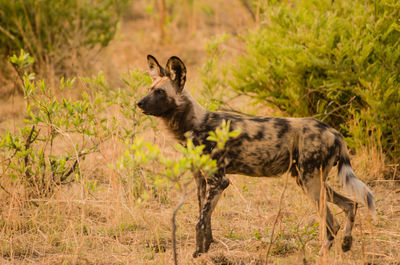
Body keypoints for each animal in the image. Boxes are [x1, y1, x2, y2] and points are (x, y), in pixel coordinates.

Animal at [137, 55, 376, 256]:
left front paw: (198, 253)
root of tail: (333, 131)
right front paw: (204, 250)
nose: (138, 103)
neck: (194, 124)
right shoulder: (202, 182)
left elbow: (200, 221)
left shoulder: (219, 181)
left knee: (332, 223)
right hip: (310, 180)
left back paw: (322, 254)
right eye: (150, 88)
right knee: (351, 205)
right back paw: (346, 244)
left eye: (160, 92)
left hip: (311, 183)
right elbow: (205, 219)